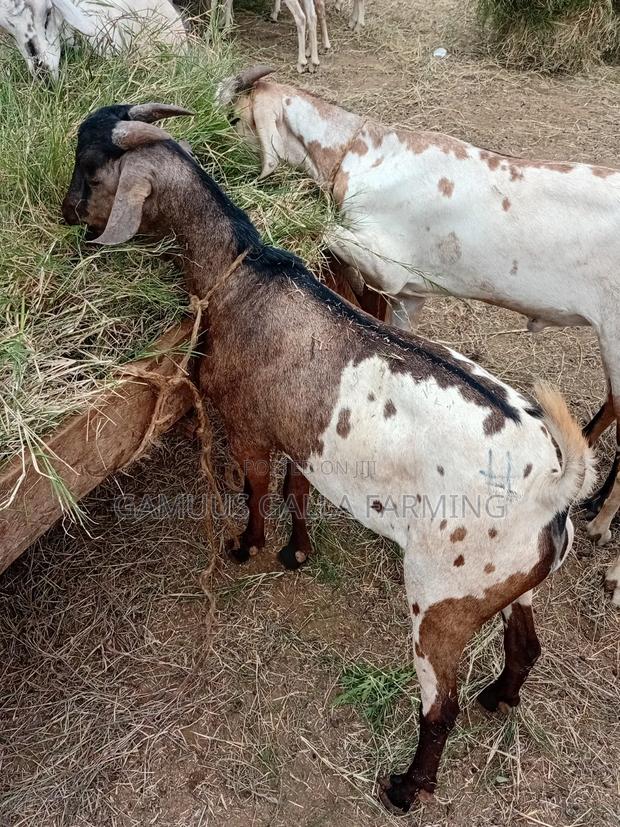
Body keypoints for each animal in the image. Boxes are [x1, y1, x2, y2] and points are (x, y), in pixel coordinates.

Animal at [62, 101, 595, 810]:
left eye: (92, 171)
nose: (65, 212)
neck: (245, 272)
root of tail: (555, 488)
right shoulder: (303, 440)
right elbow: (297, 489)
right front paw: (298, 551)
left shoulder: (250, 427)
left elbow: (259, 488)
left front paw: (248, 546)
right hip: (513, 581)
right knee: (525, 644)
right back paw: (499, 699)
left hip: (443, 596)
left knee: (440, 707)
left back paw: (407, 787)